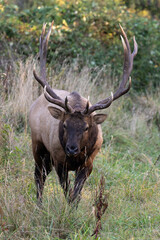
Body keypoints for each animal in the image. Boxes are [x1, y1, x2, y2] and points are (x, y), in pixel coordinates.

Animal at [29, 22, 138, 204]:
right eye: (65, 125)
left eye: (87, 127)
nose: (71, 148)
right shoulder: (59, 161)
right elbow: (67, 191)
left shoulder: (89, 163)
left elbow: (77, 193)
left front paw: (74, 206)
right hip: (38, 146)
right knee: (39, 177)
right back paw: (39, 204)